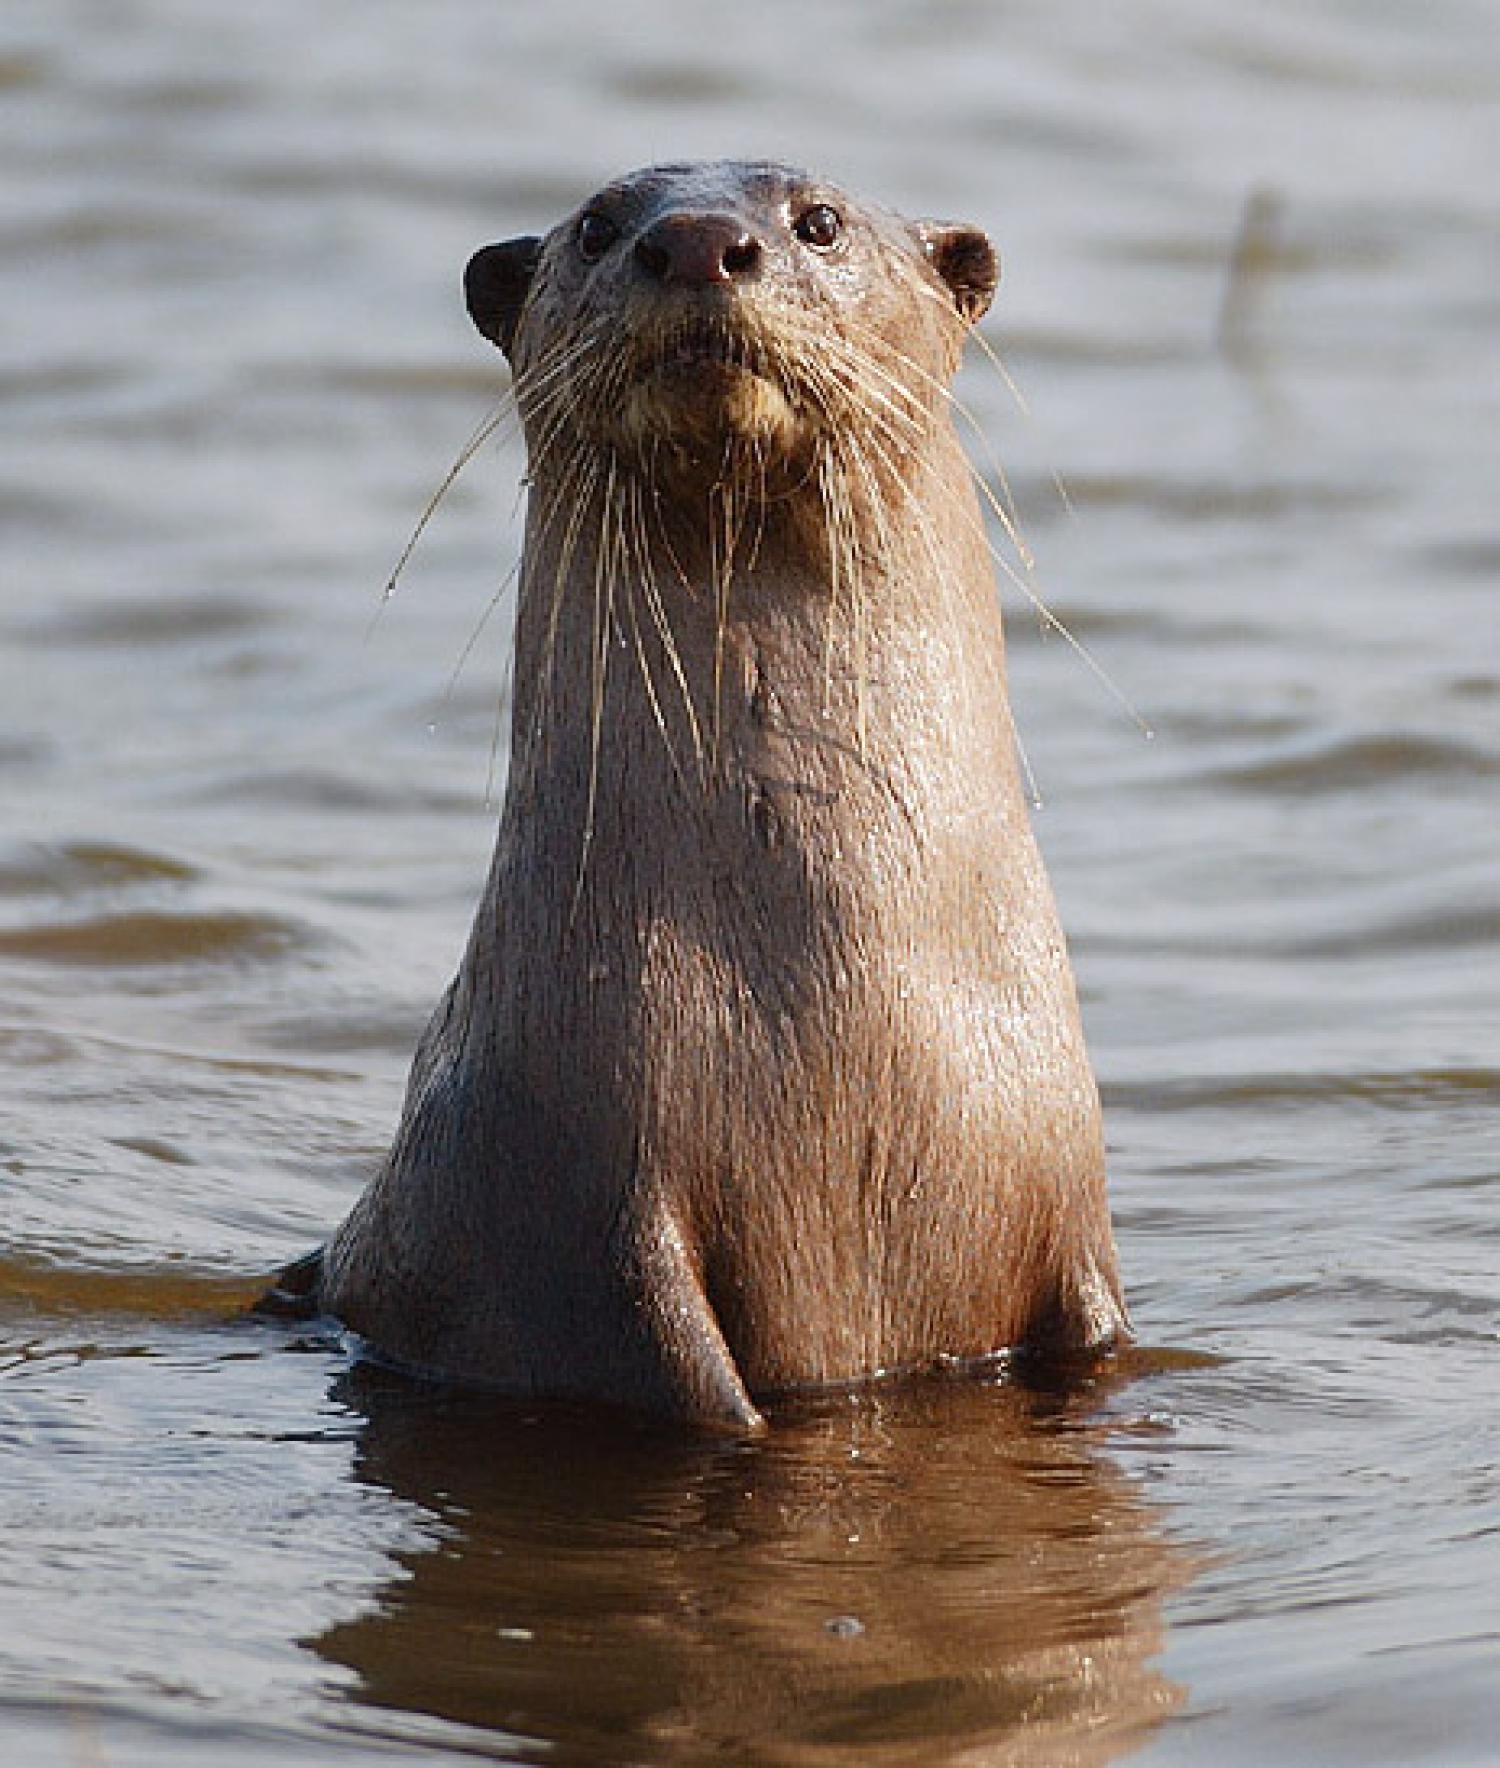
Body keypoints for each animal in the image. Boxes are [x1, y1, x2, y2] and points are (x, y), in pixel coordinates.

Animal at [302, 162, 1125, 1435]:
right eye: (598, 226)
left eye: (821, 222)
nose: (695, 241)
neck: (844, 1017)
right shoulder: (580, 1216)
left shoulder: (1070, 1215)